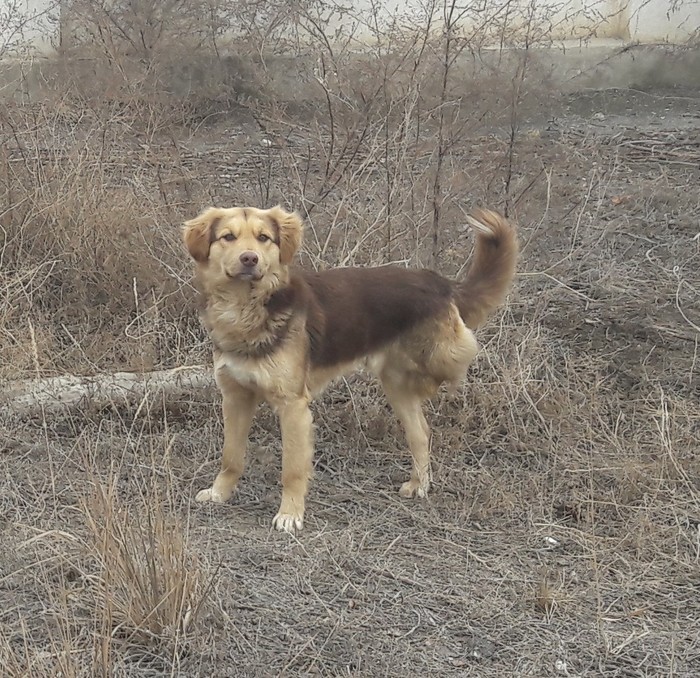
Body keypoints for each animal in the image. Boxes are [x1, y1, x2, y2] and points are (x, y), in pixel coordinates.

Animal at [183, 205, 516, 532]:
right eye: (228, 237)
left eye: (263, 238)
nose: (249, 258)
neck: (244, 309)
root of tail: (439, 281)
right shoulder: (235, 397)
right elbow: (231, 456)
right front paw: (219, 493)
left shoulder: (293, 406)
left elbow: (292, 468)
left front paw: (290, 513)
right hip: (395, 385)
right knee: (421, 432)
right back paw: (420, 484)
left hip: (438, 354)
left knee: (460, 355)